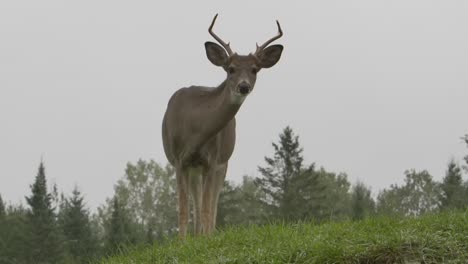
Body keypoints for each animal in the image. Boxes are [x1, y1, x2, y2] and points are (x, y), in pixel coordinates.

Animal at [163, 14, 284, 237]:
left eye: (254, 70)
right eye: (231, 69)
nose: (243, 86)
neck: (195, 132)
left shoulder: (212, 160)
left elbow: (208, 207)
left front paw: (205, 237)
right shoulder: (179, 160)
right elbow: (183, 208)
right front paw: (182, 240)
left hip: (222, 163)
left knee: (211, 204)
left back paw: (205, 233)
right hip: (194, 168)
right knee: (197, 201)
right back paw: (196, 235)